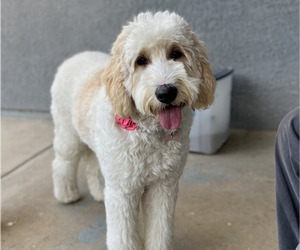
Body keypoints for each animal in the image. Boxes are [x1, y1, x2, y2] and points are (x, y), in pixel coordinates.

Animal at [51, 10, 216, 249]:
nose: (166, 92)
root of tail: (75, 56)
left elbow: (160, 230)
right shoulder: (123, 192)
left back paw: (99, 191)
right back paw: (66, 194)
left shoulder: (163, 185)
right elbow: (123, 236)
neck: (149, 133)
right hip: (68, 134)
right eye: (141, 60)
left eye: (176, 53)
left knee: (92, 163)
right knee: (62, 163)